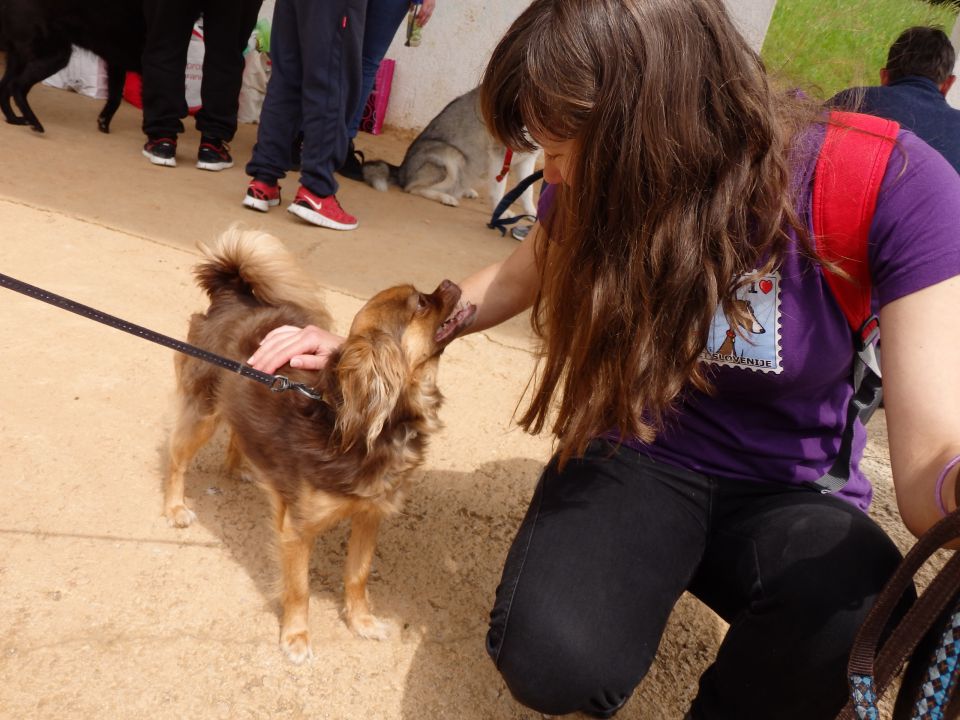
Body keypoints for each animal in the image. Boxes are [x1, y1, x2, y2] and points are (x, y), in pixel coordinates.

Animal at [0, 0, 146, 132]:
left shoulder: (116, 63)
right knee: (17, 86)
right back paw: (34, 122)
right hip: (55, 55)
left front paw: (104, 122)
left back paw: (13, 119)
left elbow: (115, 97)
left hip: (19, 57)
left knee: (5, 87)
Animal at [169, 228, 480, 660]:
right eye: (420, 303)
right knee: (177, 457)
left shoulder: (369, 515)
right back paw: (175, 507)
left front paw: (362, 622)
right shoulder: (298, 531)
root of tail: (232, 296)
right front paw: (296, 637)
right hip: (203, 412)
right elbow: (299, 589)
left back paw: (241, 466)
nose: (451, 282)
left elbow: (357, 574)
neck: (377, 427)